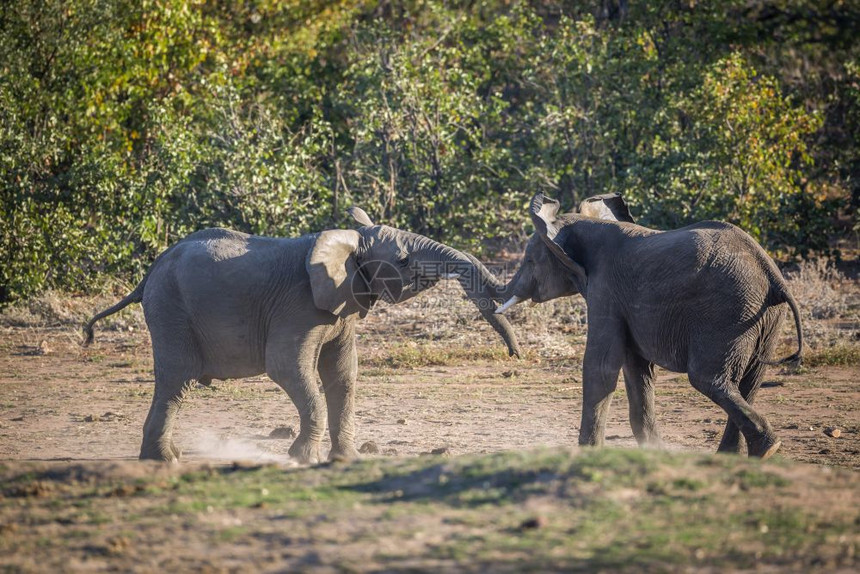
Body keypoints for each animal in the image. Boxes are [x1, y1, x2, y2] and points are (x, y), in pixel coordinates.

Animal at [84, 209, 520, 466]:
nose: (516, 355)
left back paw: (164, 457)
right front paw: (304, 458)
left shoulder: (342, 306)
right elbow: (288, 368)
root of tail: (150, 273)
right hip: (170, 308)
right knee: (178, 381)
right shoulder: (297, 305)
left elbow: (341, 374)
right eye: (403, 260)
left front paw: (345, 459)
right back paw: (164, 461)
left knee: (174, 383)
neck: (350, 241)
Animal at [494, 192, 804, 460]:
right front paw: (655, 451)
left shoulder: (605, 290)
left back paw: (767, 449)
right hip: (762, 318)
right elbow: (636, 369)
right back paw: (744, 455)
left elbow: (601, 367)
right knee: (749, 382)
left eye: (530, 260)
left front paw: (588, 454)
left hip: (728, 313)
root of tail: (771, 273)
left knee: (707, 378)